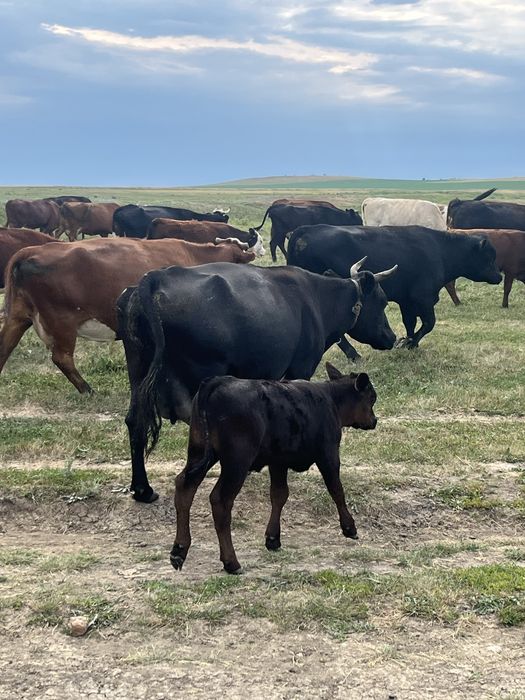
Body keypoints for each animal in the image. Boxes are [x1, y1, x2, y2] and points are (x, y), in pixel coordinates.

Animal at [0, 238, 255, 394]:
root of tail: (33, 250)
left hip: (18, 318)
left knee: (5, 347)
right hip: (62, 323)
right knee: (62, 358)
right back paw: (88, 390)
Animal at [117, 259, 397, 502]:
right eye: (383, 301)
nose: (392, 337)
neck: (319, 299)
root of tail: (155, 277)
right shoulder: (301, 367)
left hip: (138, 371)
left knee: (135, 422)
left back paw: (142, 489)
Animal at [170, 364, 377, 574]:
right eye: (371, 398)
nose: (374, 420)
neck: (331, 399)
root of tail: (217, 381)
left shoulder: (278, 462)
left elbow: (279, 495)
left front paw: (273, 538)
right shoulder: (328, 454)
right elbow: (337, 490)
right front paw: (349, 528)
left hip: (199, 452)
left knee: (185, 487)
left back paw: (179, 551)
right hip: (237, 462)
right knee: (221, 500)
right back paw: (231, 562)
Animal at [287, 224, 502, 355]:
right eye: (489, 257)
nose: (499, 276)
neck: (440, 250)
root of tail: (306, 230)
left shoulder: (407, 302)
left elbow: (410, 323)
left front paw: (409, 341)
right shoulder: (423, 298)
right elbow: (429, 323)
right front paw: (410, 343)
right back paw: (354, 355)